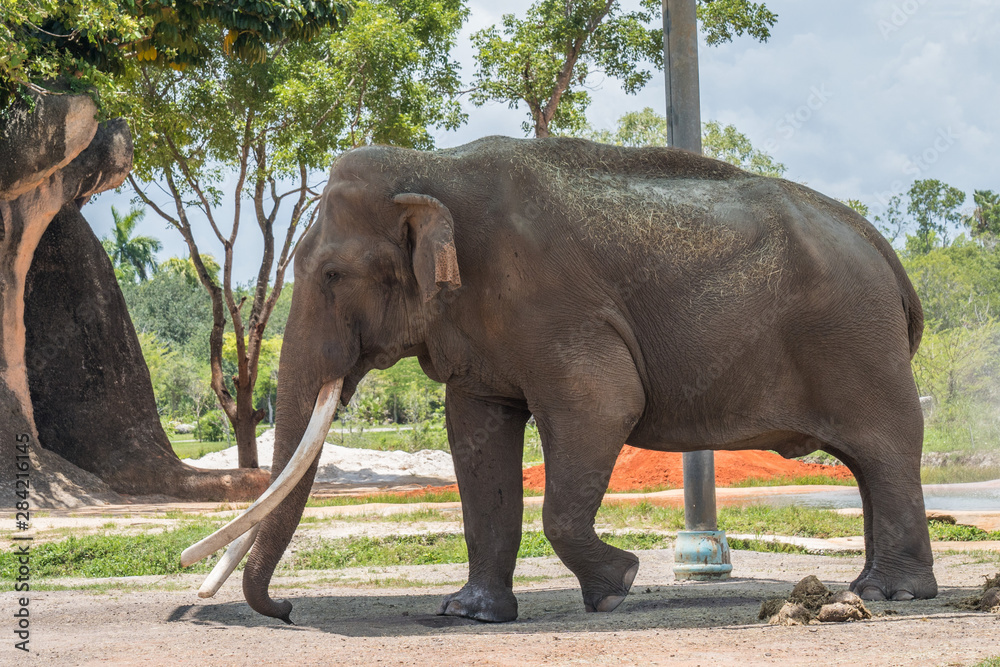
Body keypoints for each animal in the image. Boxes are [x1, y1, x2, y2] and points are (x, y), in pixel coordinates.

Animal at [186, 135, 936, 623]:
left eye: (333, 274)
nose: (285, 609)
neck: (433, 163)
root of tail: (884, 249)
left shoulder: (553, 304)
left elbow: (603, 405)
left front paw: (617, 584)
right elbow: (475, 435)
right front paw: (469, 613)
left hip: (857, 340)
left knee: (884, 449)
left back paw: (892, 595)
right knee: (869, 464)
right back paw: (873, 588)